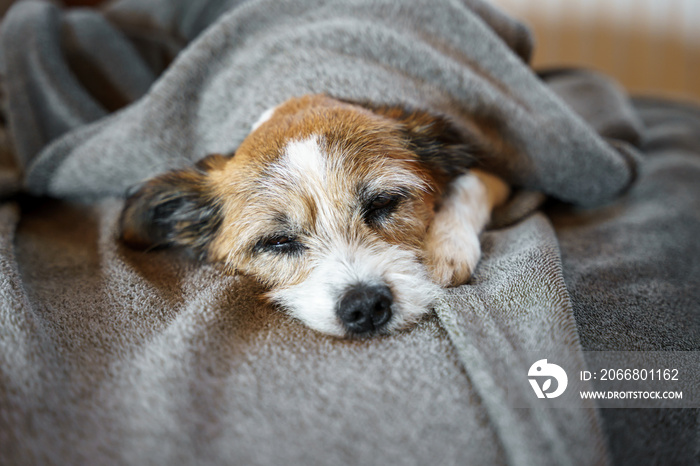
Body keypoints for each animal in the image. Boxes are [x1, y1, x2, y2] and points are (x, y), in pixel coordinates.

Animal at [117, 94, 506, 336]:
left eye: (382, 203)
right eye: (277, 241)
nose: (365, 306)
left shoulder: (498, 178)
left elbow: (469, 185)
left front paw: (446, 248)